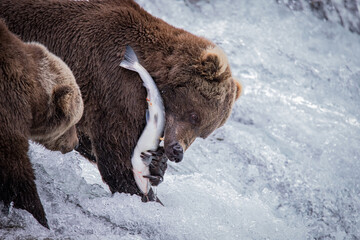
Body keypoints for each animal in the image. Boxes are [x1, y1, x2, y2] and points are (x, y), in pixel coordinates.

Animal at [0, 0, 243, 202]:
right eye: (194, 116)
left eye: (204, 133)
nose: (177, 152)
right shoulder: (113, 84)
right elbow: (116, 155)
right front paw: (147, 195)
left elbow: (86, 139)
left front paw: (157, 167)